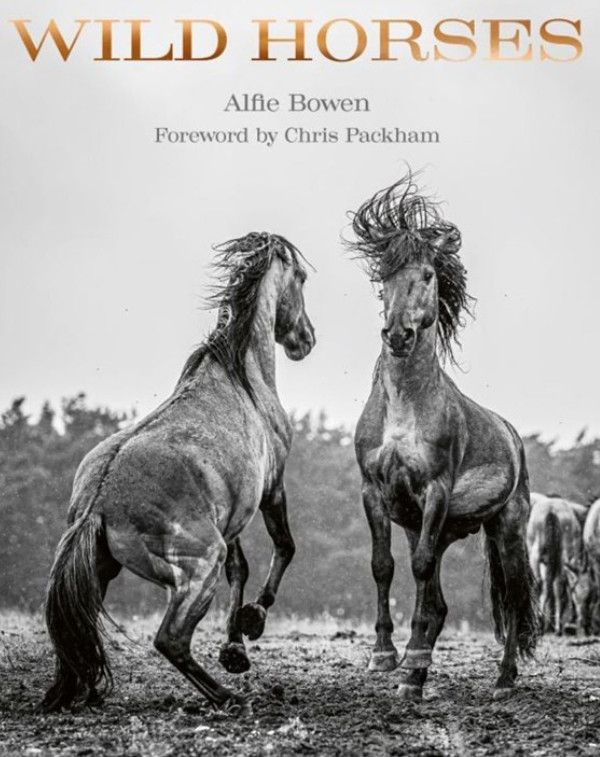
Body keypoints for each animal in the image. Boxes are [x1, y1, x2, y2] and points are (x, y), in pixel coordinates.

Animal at [40, 232, 315, 712]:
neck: (243, 376)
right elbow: (284, 547)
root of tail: (99, 500)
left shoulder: (232, 513)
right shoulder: (272, 488)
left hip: (101, 571)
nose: (306, 339)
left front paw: (235, 649)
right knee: (170, 640)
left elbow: (241, 569)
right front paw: (253, 620)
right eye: (299, 277)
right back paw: (228, 698)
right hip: (198, 565)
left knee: (76, 634)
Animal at [349, 174, 538, 702]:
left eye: (429, 275)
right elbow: (383, 566)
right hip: (439, 525)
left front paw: (411, 664)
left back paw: (503, 678)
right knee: (439, 598)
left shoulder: (434, 489)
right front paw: (386, 657)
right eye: (383, 276)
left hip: (506, 528)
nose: (397, 335)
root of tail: (513, 437)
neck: (404, 407)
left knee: (512, 595)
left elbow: (417, 569)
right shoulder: (374, 492)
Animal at [527, 493, 590, 635]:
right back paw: (557, 626)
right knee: (558, 585)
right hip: (564, 552)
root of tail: (552, 511)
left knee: (542, 584)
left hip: (536, 553)